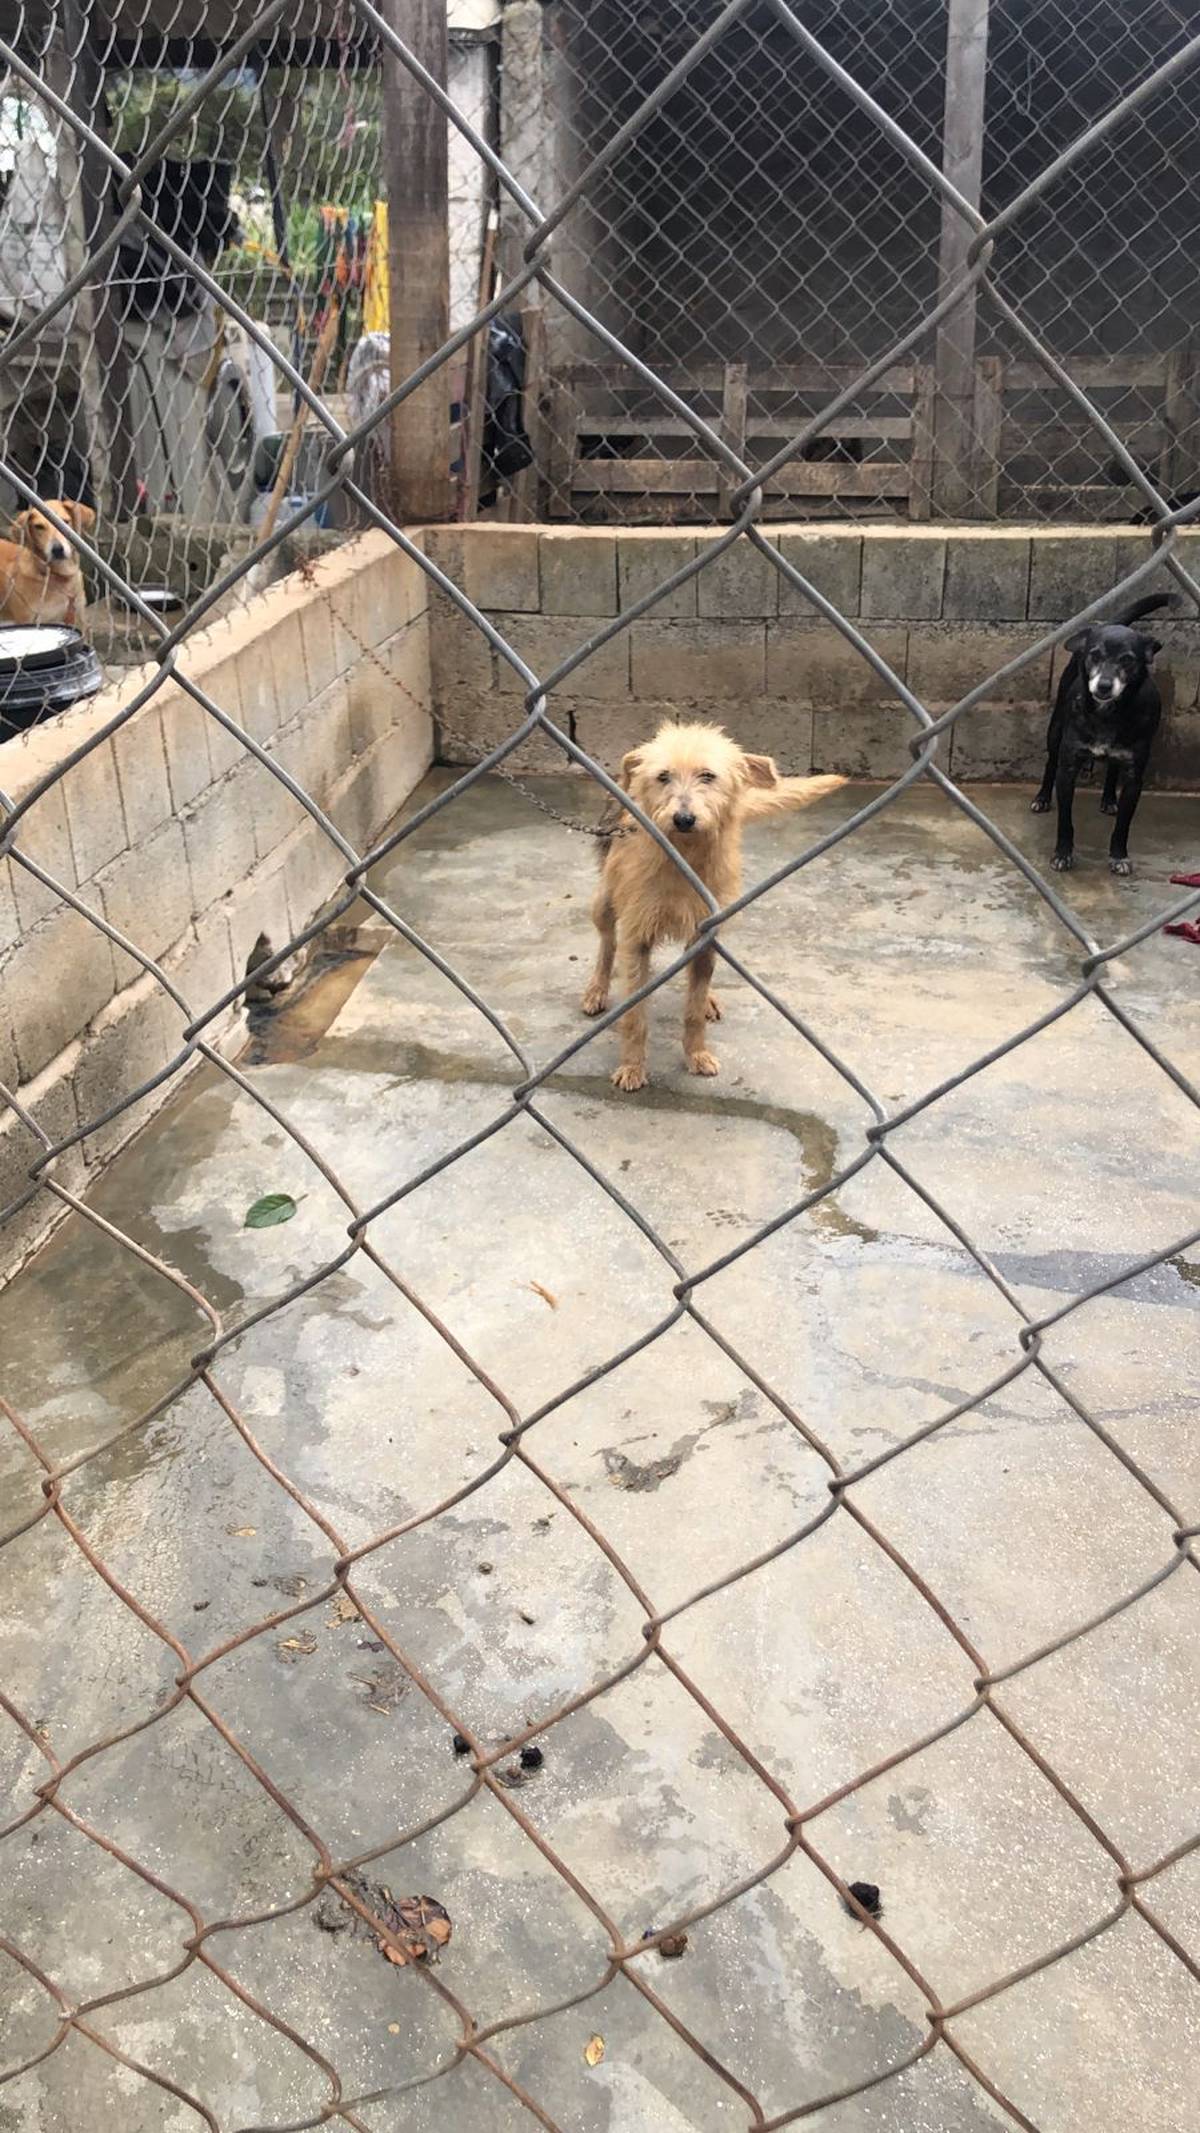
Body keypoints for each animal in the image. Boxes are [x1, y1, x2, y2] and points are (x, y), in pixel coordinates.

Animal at [582, 720, 843, 1091]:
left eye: (707, 776)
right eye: (663, 776)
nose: (683, 818)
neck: (685, 856)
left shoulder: (706, 933)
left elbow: (692, 1009)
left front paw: (697, 1054)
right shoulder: (638, 936)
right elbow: (635, 1014)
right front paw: (632, 1066)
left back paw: (708, 1000)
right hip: (604, 903)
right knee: (606, 943)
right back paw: (596, 990)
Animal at [1031, 594, 1174, 876]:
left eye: (1127, 659)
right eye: (1094, 655)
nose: (1104, 686)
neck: (1107, 714)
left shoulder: (1134, 777)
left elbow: (1123, 826)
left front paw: (1119, 856)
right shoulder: (1068, 768)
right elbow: (1065, 820)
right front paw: (1062, 853)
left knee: (1112, 770)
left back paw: (1108, 799)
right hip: (1055, 730)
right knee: (1050, 762)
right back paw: (1042, 797)